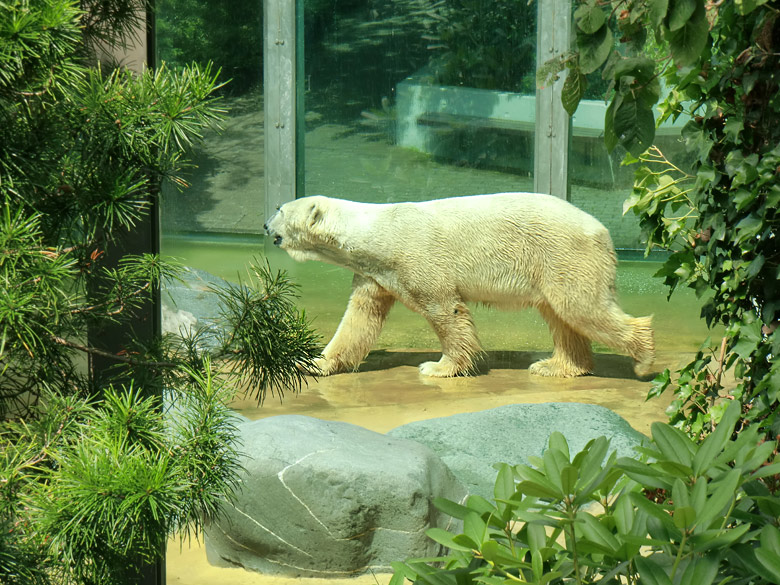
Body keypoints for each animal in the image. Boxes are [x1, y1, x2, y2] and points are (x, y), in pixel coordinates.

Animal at [266, 193, 656, 378]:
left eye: (280, 209)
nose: (266, 225)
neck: (377, 233)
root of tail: (602, 230)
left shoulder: (416, 259)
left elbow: (445, 310)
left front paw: (438, 368)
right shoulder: (375, 274)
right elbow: (359, 319)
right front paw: (314, 363)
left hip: (564, 254)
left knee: (583, 308)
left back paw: (644, 358)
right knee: (562, 316)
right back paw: (555, 366)